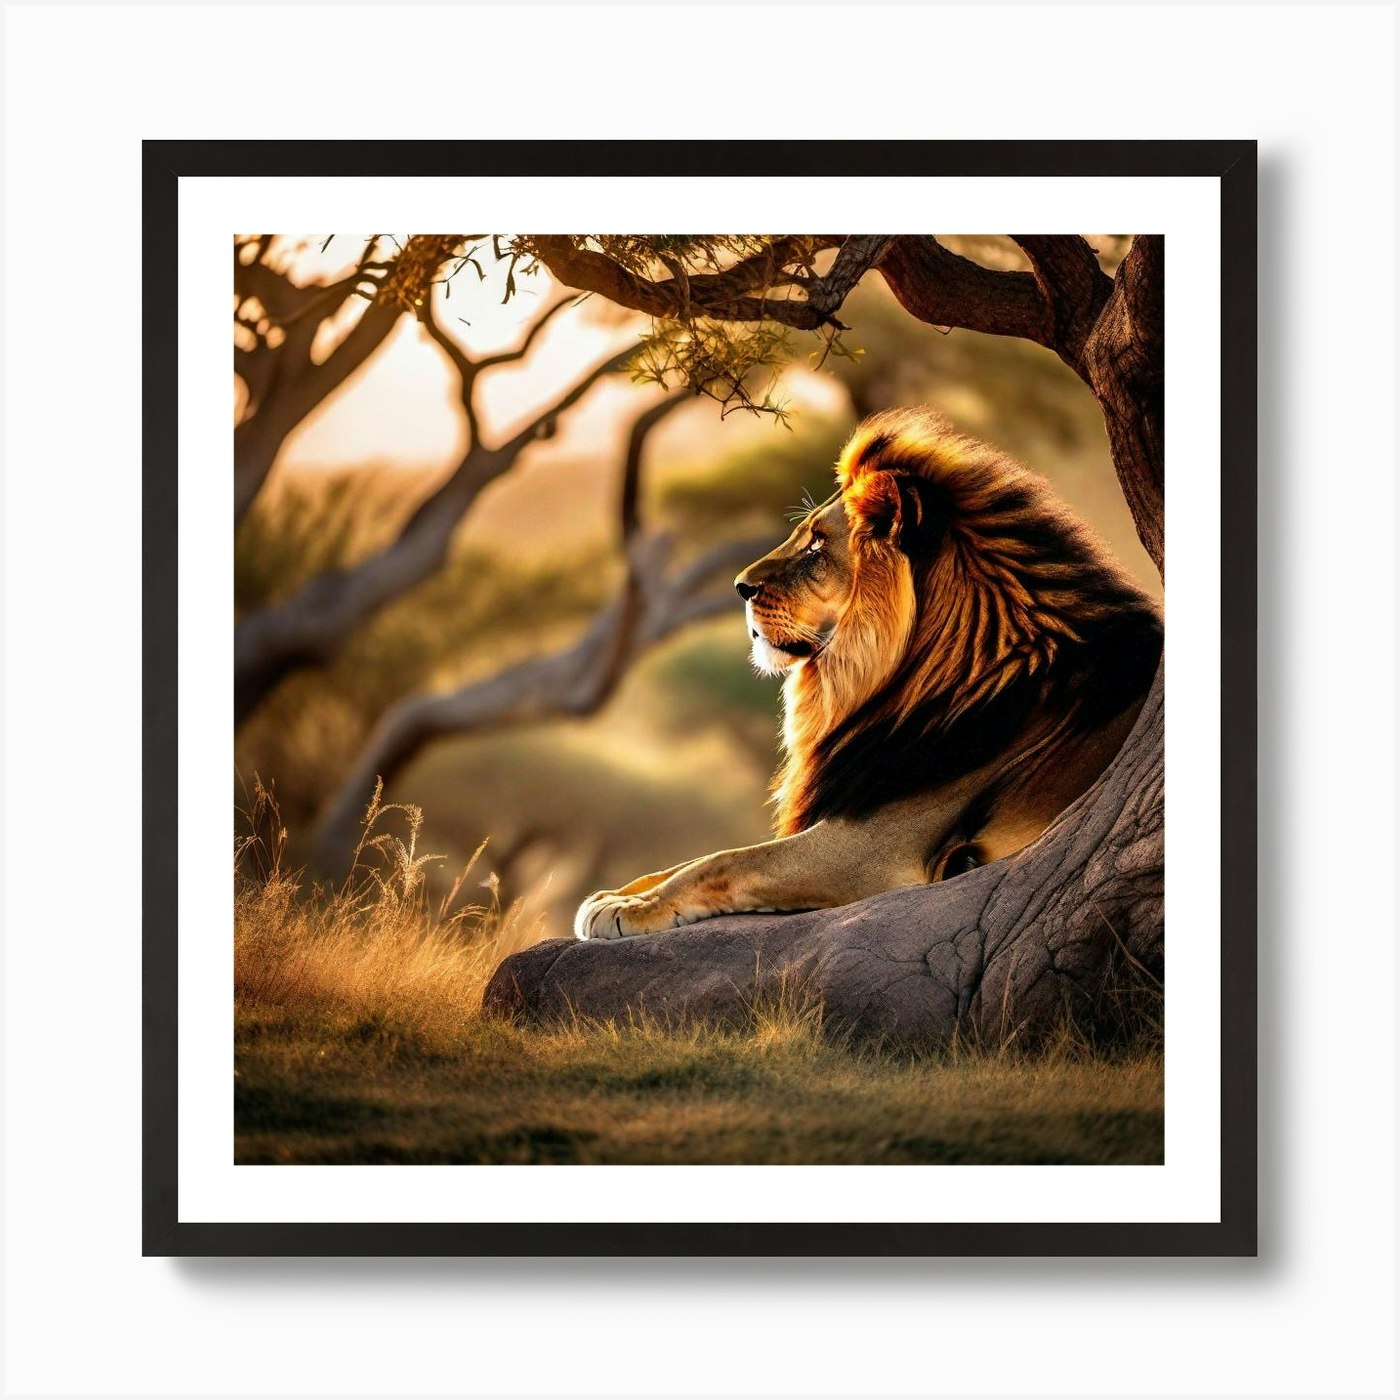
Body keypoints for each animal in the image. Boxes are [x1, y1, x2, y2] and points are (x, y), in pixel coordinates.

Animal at [574, 407, 1163, 941]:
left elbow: (723, 859)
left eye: (816, 545)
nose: (740, 586)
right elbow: (684, 859)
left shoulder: (868, 849)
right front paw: (615, 893)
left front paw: (628, 909)